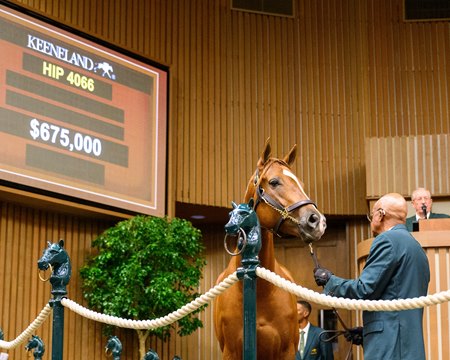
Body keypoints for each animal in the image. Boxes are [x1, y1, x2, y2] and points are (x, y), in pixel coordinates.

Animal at [213, 140, 326, 360]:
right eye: (274, 182)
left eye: (301, 184)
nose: (317, 221)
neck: (260, 288)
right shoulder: (231, 352)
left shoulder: (286, 352)